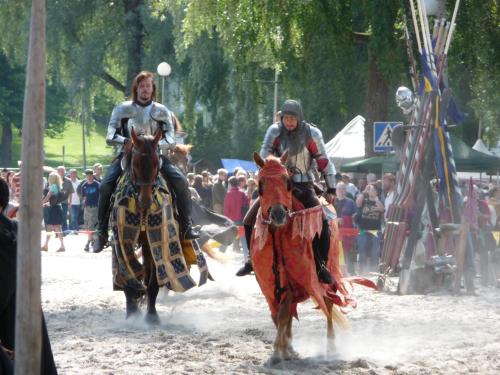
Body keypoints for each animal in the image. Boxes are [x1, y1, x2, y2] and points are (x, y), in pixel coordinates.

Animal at [252, 151, 376, 364]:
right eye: (261, 183)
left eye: (287, 182)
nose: (278, 214)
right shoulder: (267, 285)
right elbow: (278, 315)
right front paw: (286, 348)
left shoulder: (294, 280)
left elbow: (283, 314)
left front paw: (278, 351)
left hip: (329, 271)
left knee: (329, 303)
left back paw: (331, 347)